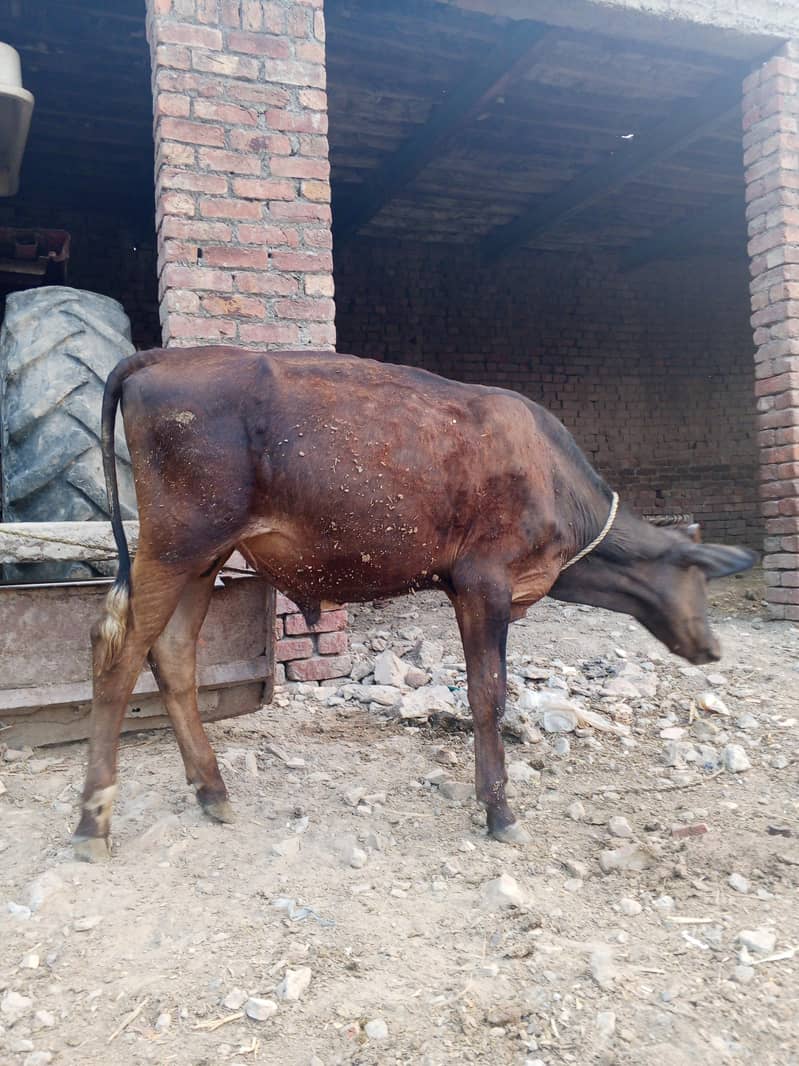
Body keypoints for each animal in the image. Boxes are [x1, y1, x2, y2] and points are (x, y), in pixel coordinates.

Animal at [72, 347, 756, 861]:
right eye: (698, 579)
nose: (712, 646)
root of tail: (164, 356)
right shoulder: (485, 581)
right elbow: (488, 694)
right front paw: (499, 810)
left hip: (204, 555)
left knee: (172, 653)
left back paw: (212, 792)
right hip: (176, 541)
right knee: (116, 653)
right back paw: (93, 821)